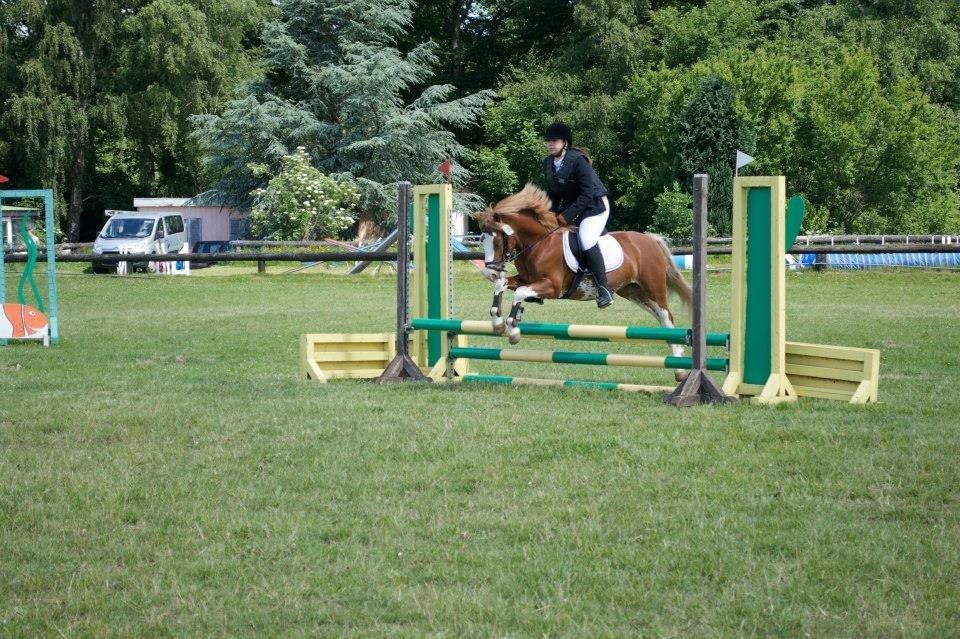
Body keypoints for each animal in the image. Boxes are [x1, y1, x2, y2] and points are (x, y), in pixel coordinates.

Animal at [474, 185, 688, 376]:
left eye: (497, 240)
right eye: (481, 239)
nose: (490, 273)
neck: (538, 244)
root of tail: (650, 240)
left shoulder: (553, 287)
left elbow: (519, 294)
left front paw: (513, 331)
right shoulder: (525, 280)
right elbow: (501, 285)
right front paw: (498, 323)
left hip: (653, 288)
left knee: (667, 317)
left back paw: (679, 368)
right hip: (632, 291)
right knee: (659, 317)